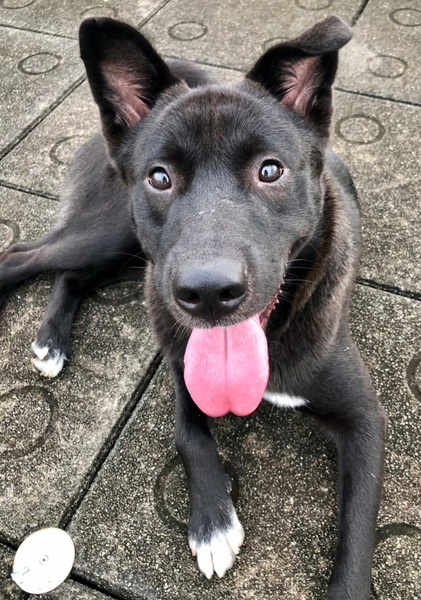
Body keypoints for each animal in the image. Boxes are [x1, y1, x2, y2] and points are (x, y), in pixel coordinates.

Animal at [1, 15, 386, 599]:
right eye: (160, 177)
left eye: (270, 171)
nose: (207, 293)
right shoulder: (182, 366)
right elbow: (189, 434)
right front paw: (212, 521)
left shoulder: (366, 420)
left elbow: (358, 541)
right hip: (115, 236)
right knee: (24, 256)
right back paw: (49, 336)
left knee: (69, 274)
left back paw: (52, 341)